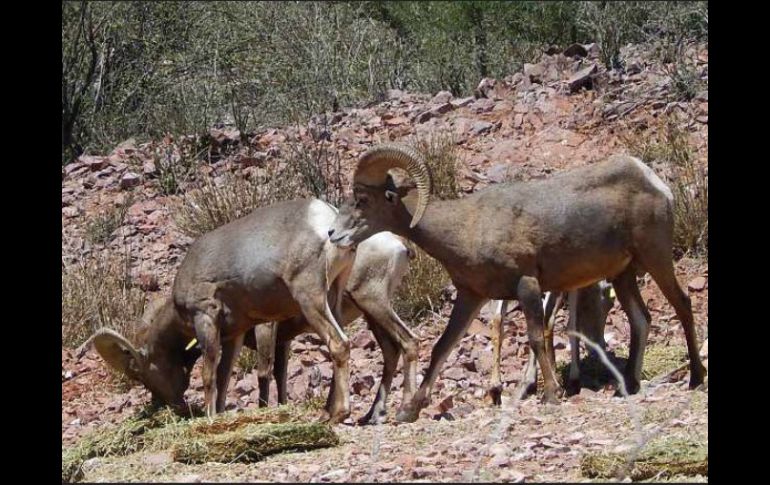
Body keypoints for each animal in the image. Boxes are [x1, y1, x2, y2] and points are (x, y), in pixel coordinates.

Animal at [90, 197, 390, 420]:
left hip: (310, 297)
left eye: (141, 373)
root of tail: (327, 221)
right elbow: (224, 377)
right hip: (332, 298)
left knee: (339, 344)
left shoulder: (206, 318)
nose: (165, 404)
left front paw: (210, 418)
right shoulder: (234, 333)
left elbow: (209, 374)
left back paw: (339, 414)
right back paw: (328, 413)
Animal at [244, 231, 416, 424]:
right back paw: (371, 415)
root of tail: (399, 244)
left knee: (408, 342)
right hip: (371, 314)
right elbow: (280, 374)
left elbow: (264, 373)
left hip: (373, 303)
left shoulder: (265, 328)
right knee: (390, 351)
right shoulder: (283, 340)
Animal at [328, 142, 704, 422]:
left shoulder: (527, 286)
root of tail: (654, 182)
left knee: (682, 305)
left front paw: (550, 395)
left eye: (363, 200)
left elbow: (536, 338)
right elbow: (442, 348)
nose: (334, 234)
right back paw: (629, 385)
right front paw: (409, 411)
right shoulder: (471, 296)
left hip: (656, 257)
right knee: (642, 319)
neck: (466, 227)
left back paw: (695, 379)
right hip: (623, 275)